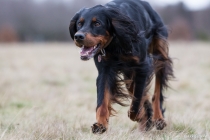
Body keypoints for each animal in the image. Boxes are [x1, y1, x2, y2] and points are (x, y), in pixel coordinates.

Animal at [69, 0, 174, 133]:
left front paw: (138, 115)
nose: (78, 36)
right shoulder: (105, 71)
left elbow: (136, 101)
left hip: (160, 55)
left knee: (157, 90)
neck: (115, 41)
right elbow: (102, 99)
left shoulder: (143, 66)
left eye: (97, 23)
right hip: (129, 75)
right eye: (79, 23)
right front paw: (101, 124)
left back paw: (158, 119)